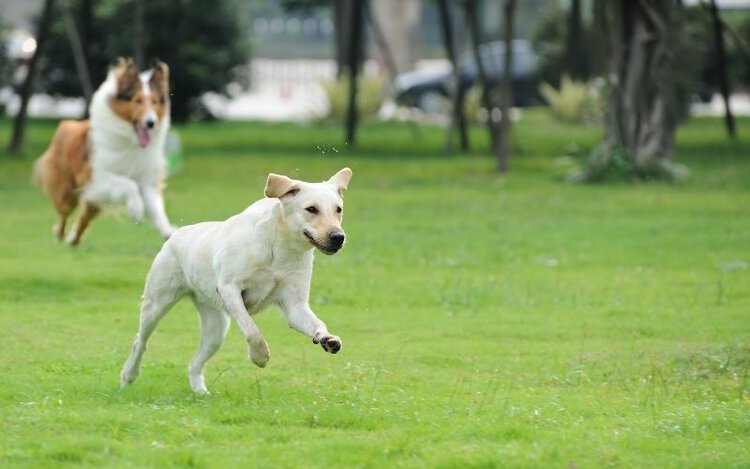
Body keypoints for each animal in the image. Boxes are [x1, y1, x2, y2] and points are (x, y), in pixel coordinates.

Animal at [119, 166, 352, 394]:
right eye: (311, 209)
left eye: (338, 209)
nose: (338, 237)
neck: (280, 247)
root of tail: (176, 235)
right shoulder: (230, 289)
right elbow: (252, 331)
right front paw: (260, 357)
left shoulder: (295, 306)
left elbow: (317, 323)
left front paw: (327, 339)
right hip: (157, 304)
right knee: (140, 340)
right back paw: (128, 375)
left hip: (216, 329)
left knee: (195, 362)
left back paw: (200, 391)